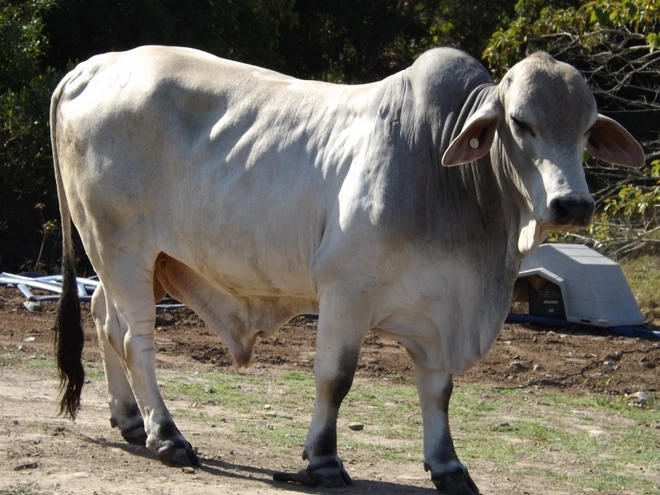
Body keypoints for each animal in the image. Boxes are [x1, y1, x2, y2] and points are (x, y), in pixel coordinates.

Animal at [51, 45, 644, 494]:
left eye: (587, 129)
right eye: (521, 123)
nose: (573, 205)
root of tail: (93, 66)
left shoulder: (439, 305)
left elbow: (438, 390)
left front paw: (448, 466)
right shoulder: (346, 291)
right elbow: (334, 379)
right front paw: (323, 461)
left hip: (136, 261)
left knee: (104, 319)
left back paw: (129, 420)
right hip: (120, 246)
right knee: (137, 340)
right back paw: (167, 435)